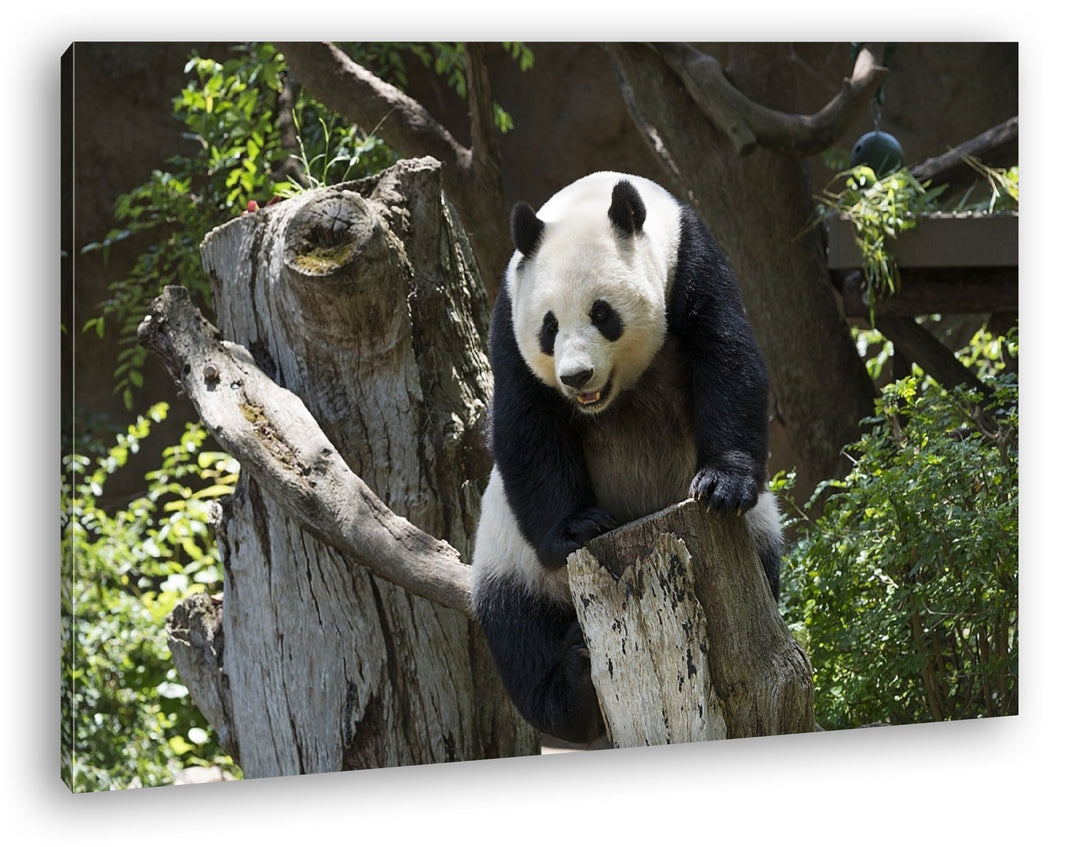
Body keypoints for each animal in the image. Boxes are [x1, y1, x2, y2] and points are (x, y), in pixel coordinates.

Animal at [470, 171, 783, 744]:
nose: (576, 377)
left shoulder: (691, 260)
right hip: (510, 560)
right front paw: (580, 526)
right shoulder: (509, 312)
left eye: (603, 314)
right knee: (519, 634)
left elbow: (726, 355)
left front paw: (721, 485)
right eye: (549, 326)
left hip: (759, 536)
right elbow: (527, 422)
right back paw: (572, 684)